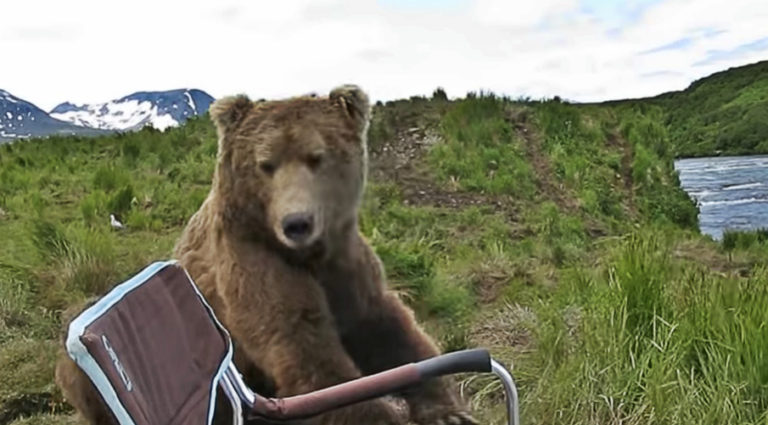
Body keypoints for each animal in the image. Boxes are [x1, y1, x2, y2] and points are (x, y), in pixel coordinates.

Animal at [54, 85, 478, 425]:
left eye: (316, 157)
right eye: (266, 164)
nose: (297, 222)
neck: (309, 255)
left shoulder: (345, 263)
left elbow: (388, 327)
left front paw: (448, 411)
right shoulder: (252, 262)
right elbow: (305, 349)